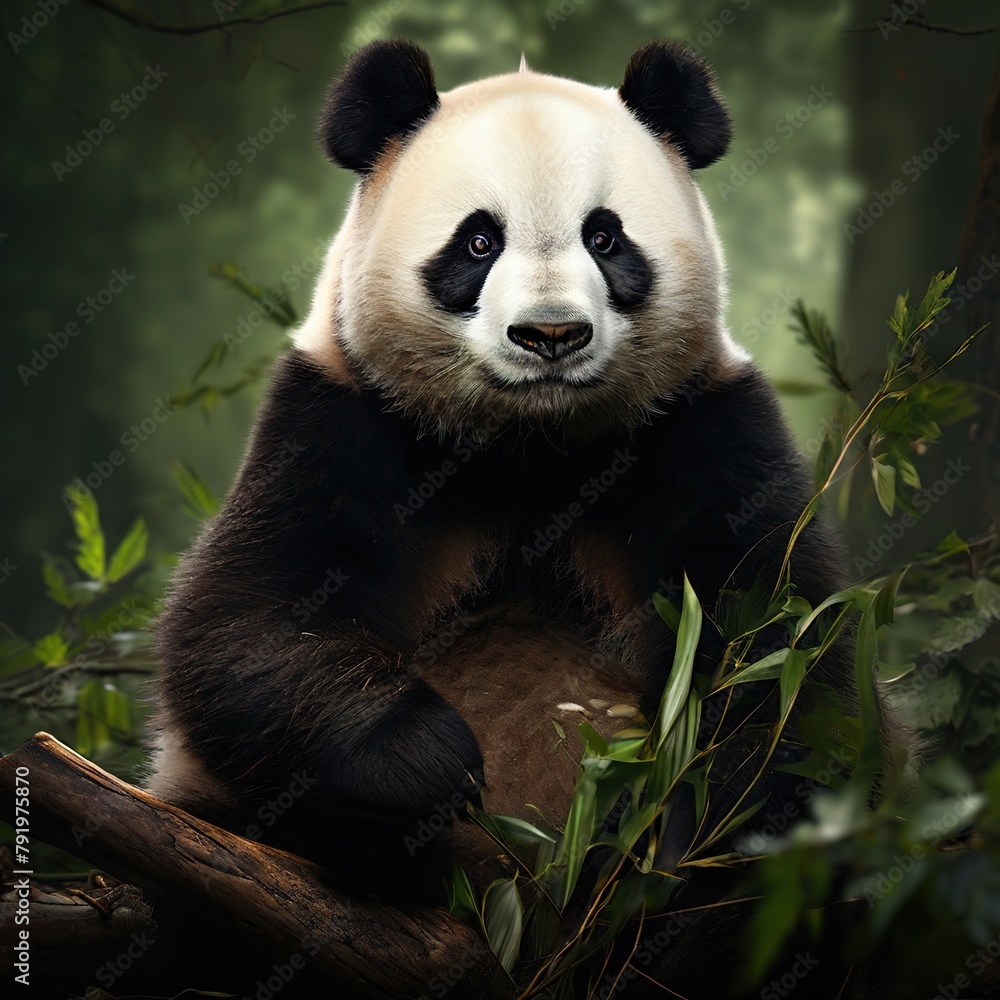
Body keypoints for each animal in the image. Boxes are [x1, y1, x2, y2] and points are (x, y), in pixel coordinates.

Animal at [147, 37, 866, 988]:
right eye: (479, 241)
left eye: (605, 236)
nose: (551, 335)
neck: (531, 445)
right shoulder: (338, 425)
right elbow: (243, 621)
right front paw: (428, 759)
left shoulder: (703, 430)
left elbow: (781, 647)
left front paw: (689, 833)